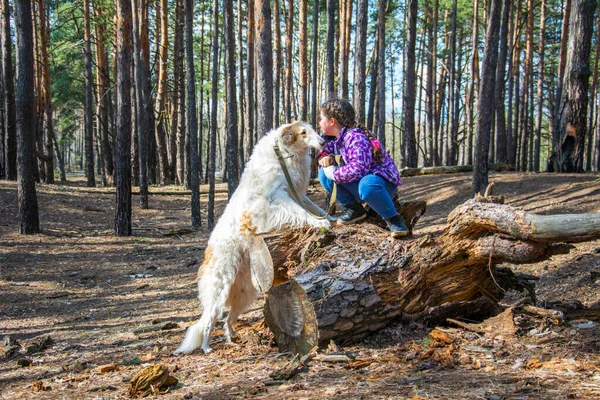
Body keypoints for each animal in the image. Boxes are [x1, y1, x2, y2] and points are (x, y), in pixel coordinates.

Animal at [176, 121, 330, 354]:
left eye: (312, 129)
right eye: (304, 132)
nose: (323, 142)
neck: (282, 153)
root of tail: (209, 252)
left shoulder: (297, 195)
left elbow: (315, 208)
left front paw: (332, 217)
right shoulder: (278, 198)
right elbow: (302, 213)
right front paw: (320, 223)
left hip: (244, 293)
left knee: (227, 321)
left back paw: (233, 339)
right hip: (220, 291)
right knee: (209, 321)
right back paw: (206, 347)